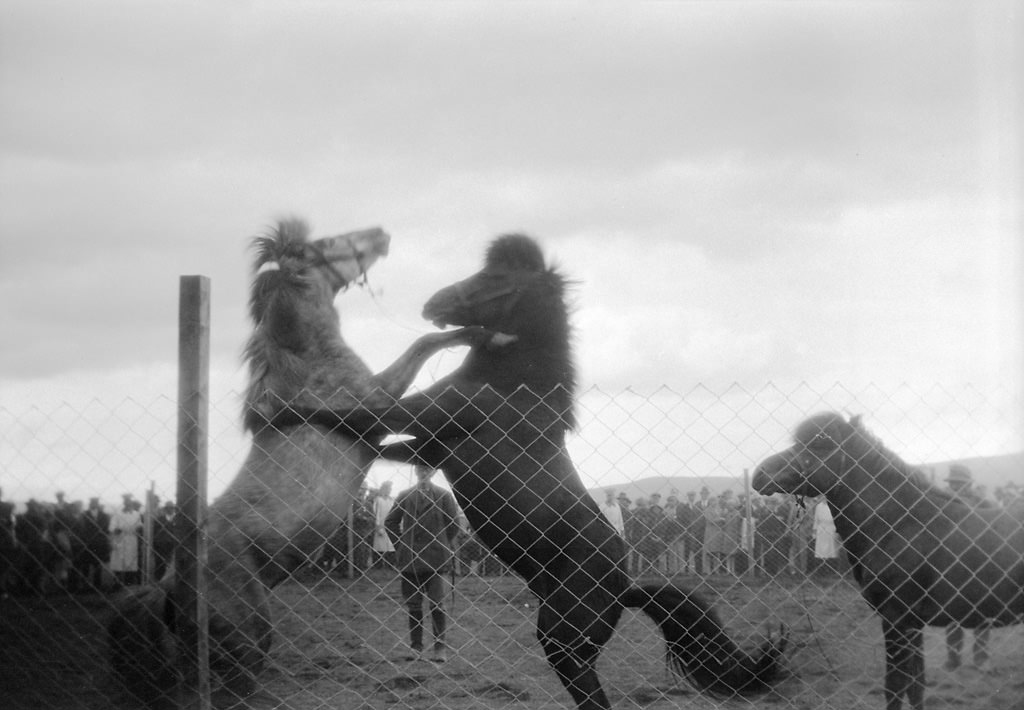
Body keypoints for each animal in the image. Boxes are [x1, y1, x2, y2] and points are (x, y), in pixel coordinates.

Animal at [110, 220, 493, 704]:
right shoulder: (378, 406)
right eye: (328, 243)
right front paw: (476, 332)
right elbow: (425, 343)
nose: (381, 233)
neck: (308, 364)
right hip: (249, 640)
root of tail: (167, 586)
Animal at [276, 235, 786, 708]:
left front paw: (277, 411)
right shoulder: (430, 446)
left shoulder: (424, 417)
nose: (433, 303)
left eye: (496, 278)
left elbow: (351, 416)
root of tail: (624, 588)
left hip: (565, 644)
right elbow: (372, 439)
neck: (513, 386)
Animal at [753, 409, 1024, 708]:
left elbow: (894, 688)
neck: (899, 523)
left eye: (821, 444)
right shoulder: (913, 625)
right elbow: (916, 687)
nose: (760, 473)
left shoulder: (896, 620)